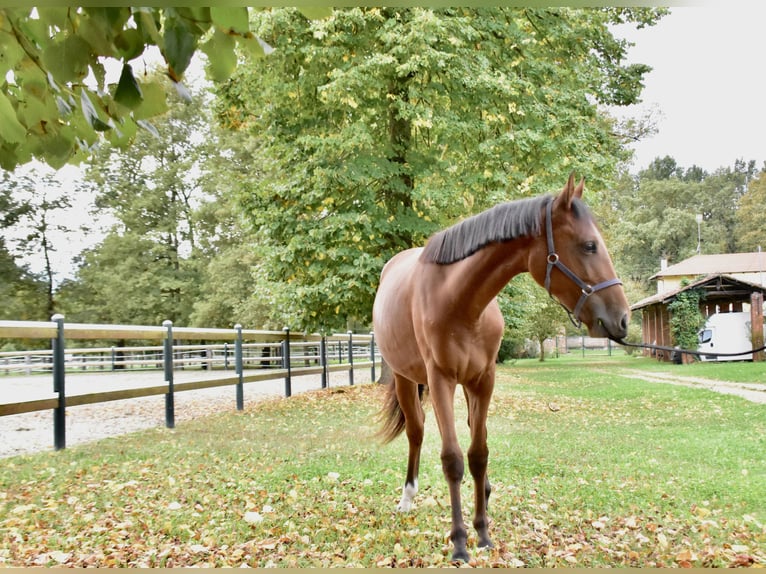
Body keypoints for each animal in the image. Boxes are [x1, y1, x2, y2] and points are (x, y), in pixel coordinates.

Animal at [372, 174, 632, 564]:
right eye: (589, 246)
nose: (622, 319)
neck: (458, 300)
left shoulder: (483, 380)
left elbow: (478, 454)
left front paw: (482, 533)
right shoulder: (440, 379)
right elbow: (452, 459)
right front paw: (460, 542)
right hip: (405, 379)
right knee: (416, 433)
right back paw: (407, 497)